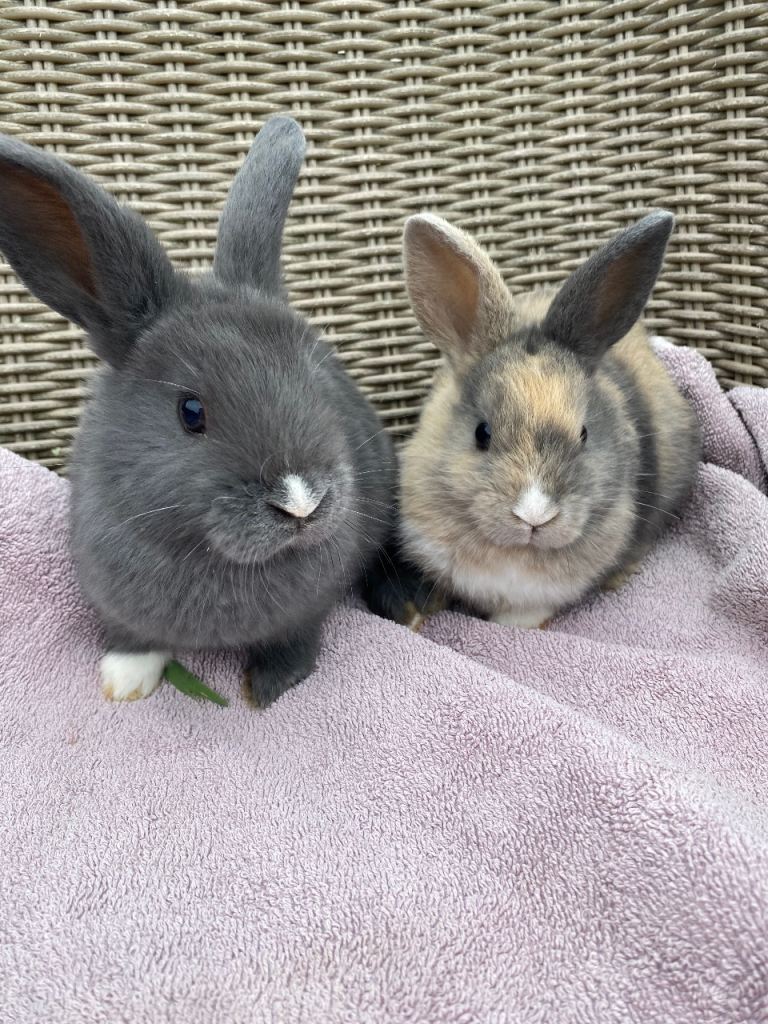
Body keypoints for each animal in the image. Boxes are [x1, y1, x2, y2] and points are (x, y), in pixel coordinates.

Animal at [0, 115, 398, 705]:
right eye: (191, 411)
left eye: (316, 381)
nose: (301, 503)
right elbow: (131, 638)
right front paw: (123, 682)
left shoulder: (310, 609)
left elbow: (296, 639)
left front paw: (266, 688)